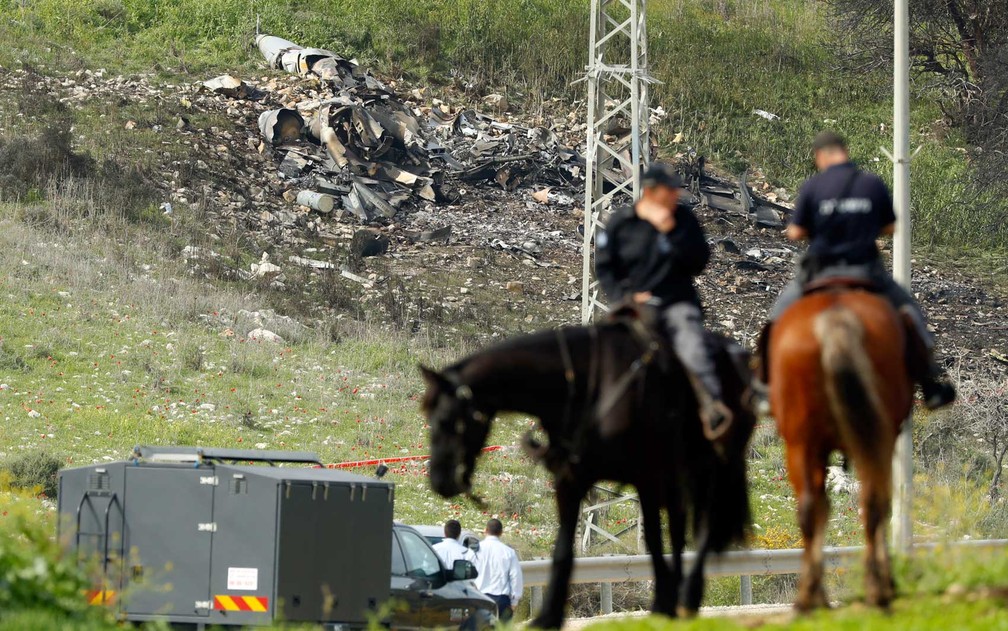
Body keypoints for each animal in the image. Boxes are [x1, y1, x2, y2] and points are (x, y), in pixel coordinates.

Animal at [419, 314, 758, 624]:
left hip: (709, 469)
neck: (586, 389)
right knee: (680, 527)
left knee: (701, 528)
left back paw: (686, 597)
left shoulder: (647, 479)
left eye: (448, 420)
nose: (439, 480)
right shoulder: (571, 481)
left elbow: (653, 541)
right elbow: (563, 550)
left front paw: (663, 604)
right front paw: (549, 616)